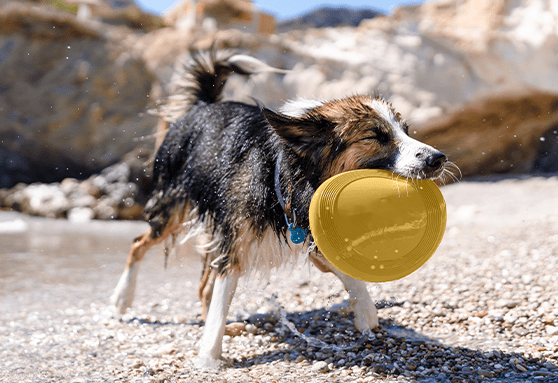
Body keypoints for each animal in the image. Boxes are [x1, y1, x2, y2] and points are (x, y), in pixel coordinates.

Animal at [110, 51, 456, 368]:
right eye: (376, 136)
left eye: (406, 130)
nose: (438, 159)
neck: (286, 174)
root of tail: (202, 105)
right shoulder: (237, 238)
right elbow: (222, 295)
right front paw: (209, 357)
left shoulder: (308, 228)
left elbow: (349, 276)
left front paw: (367, 315)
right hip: (174, 208)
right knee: (138, 244)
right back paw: (122, 299)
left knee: (202, 283)